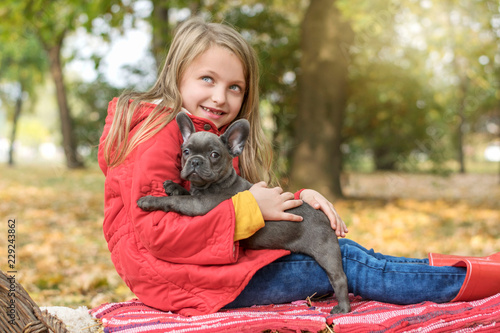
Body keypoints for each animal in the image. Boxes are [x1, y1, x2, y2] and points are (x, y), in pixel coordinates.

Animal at [137, 111, 352, 314]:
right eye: (186, 151)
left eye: (214, 155)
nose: (195, 161)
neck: (209, 185)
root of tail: (323, 215)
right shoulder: (196, 196)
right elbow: (184, 193)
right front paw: (173, 186)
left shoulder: (200, 205)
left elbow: (176, 201)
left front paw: (150, 200)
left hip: (326, 252)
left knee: (339, 278)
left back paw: (343, 308)